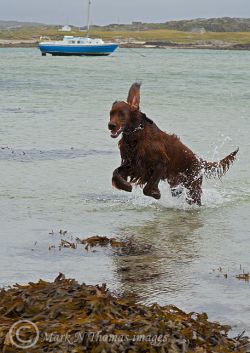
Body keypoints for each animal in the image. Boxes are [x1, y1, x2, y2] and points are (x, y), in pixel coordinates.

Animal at [107, 81, 238, 205]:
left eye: (122, 114)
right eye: (111, 113)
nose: (110, 125)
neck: (136, 134)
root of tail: (199, 161)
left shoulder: (160, 163)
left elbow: (147, 188)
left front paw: (156, 194)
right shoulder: (134, 163)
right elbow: (115, 173)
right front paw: (126, 186)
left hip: (193, 185)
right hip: (176, 184)